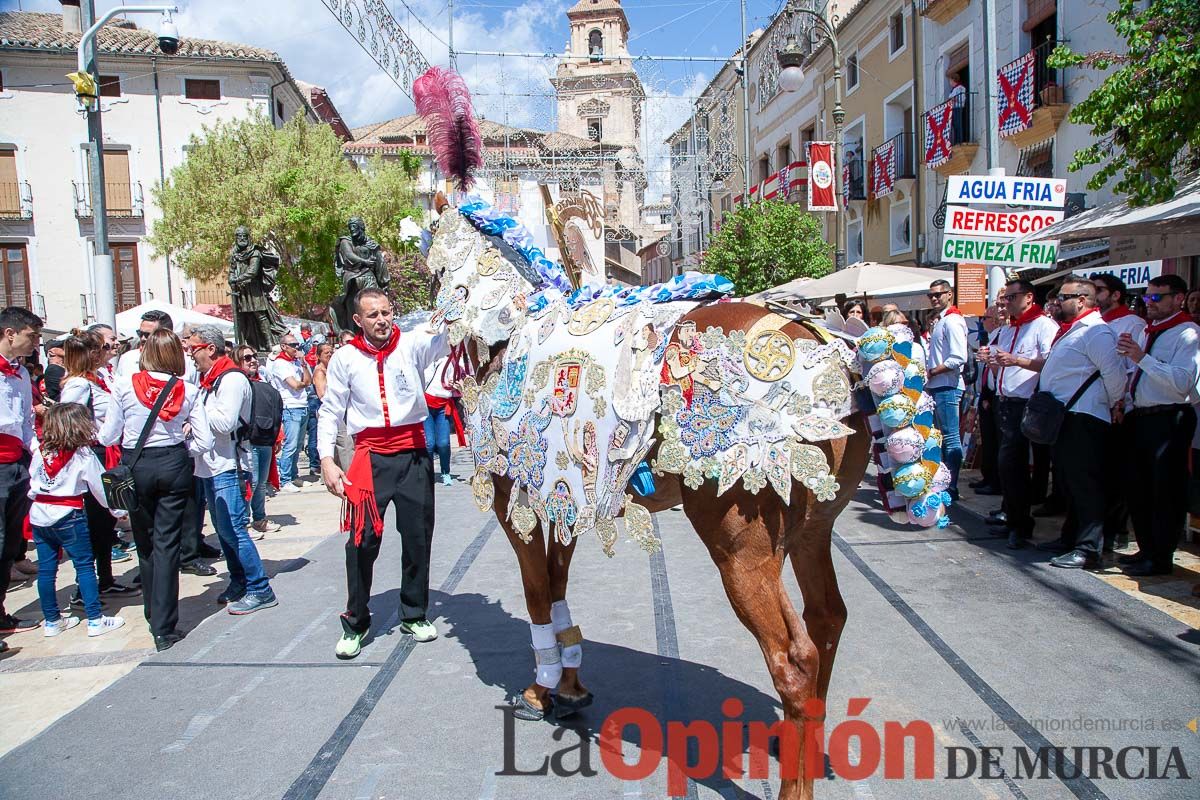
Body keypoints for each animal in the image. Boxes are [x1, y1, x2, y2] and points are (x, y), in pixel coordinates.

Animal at [412, 67, 945, 800]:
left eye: (428, 227)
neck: (515, 326)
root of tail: (837, 352)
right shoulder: (561, 498)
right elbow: (557, 583)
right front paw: (570, 683)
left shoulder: (514, 503)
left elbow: (538, 593)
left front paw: (546, 688)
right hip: (812, 530)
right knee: (828, 623)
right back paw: (799, 745)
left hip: (742, 544)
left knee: (795, 656)